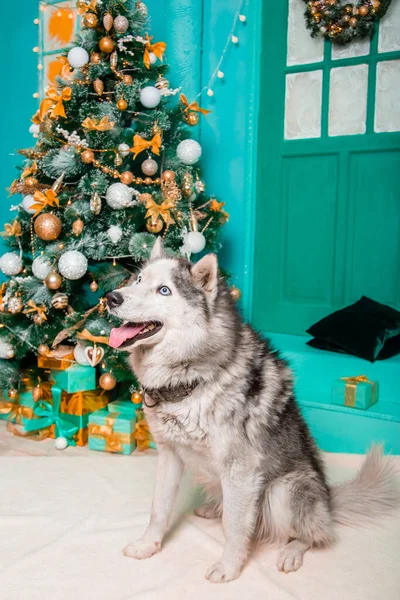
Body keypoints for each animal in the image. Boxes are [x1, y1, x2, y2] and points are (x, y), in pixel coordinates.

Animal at [108, 238, 398, 580]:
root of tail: (329, 500)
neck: (192, 378)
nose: (111, 298)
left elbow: (234, 526)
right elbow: (159, 508)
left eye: (164, 290)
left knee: (314, 535)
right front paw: (148, 545)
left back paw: (292, 551)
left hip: (283, 492)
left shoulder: (240, 468)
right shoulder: (169, 454)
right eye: (138, 280)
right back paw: (213, 507)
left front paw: (229, 567)